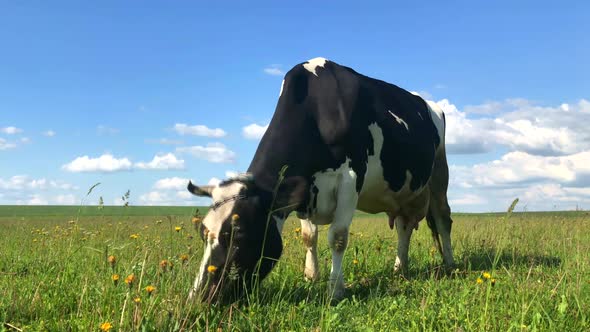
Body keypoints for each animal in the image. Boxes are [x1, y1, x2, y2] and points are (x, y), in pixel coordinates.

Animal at [187, 57, 456, 304]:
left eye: (238, 234)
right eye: (203, 232)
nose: (196, 299)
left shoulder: (351, 179)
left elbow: (338, 237)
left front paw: (335, 290)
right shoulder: (306, 190)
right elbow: (309, 236)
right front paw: (311, 276)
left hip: (439, 172)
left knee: (443, 218)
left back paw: (450, 264)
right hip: (402, 193)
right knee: (403, 226)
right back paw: (400, 268)